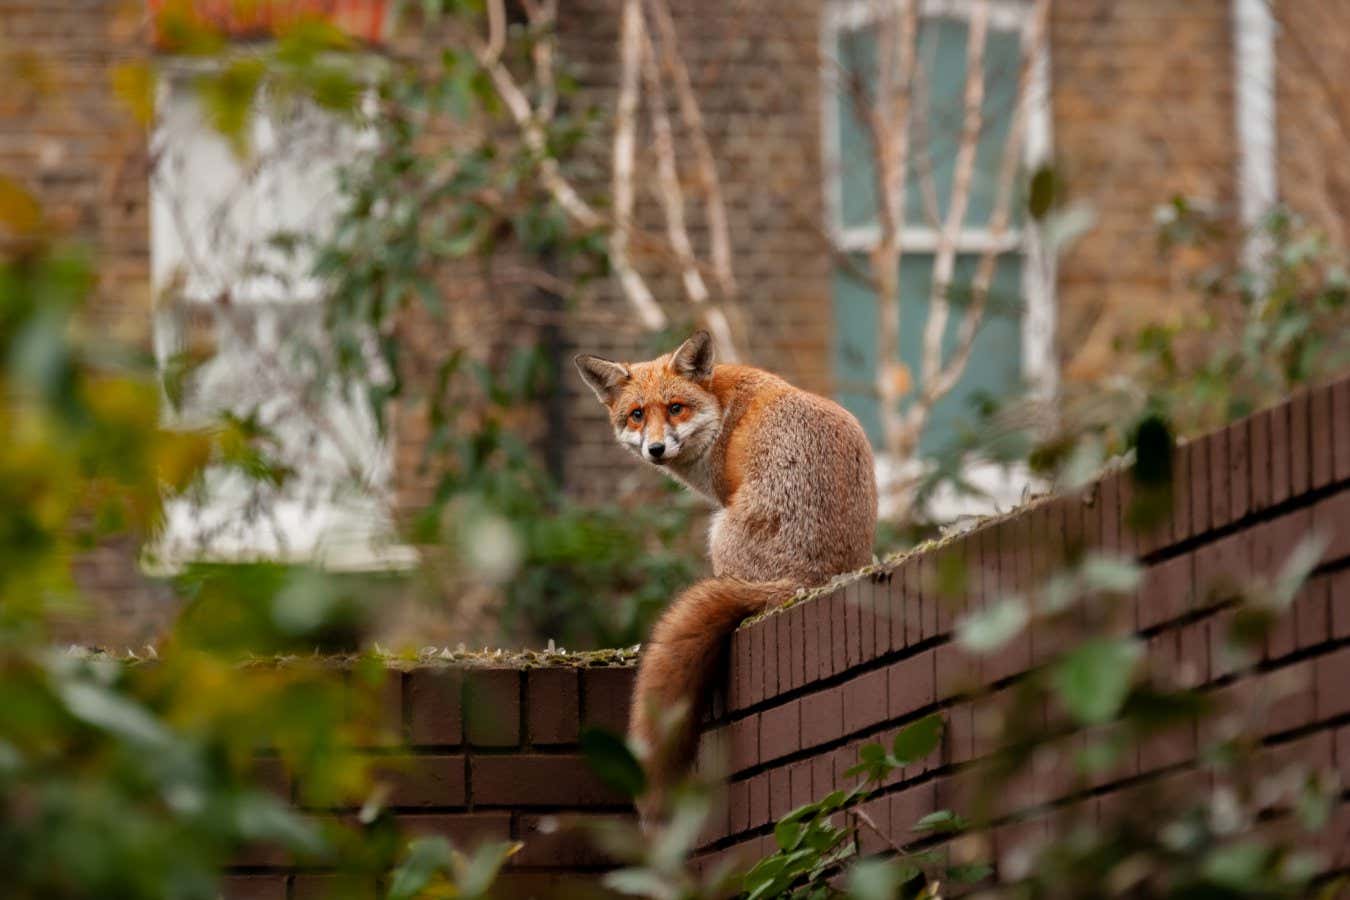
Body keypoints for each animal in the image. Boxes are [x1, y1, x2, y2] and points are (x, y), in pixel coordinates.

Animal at [575, 331, 877, 818]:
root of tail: (811, 580)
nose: (655, 449)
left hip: (717, 534)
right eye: (637, 415)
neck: (721, 408)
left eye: (675, 408)